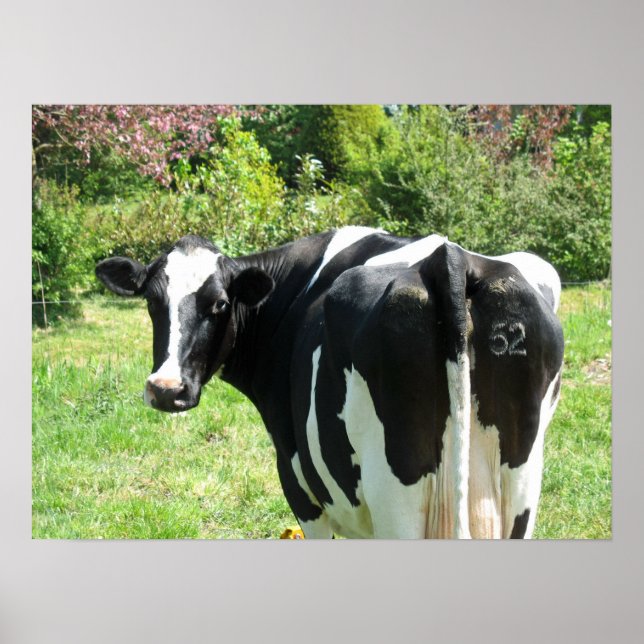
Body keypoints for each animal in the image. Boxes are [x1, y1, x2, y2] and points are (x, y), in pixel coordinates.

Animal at [96, 226, 564, 539]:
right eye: (152, 302)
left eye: (220, 304)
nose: (165, 388)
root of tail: (449, 260)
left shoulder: (299, 483)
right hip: (520, 489)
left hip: (396, 495)